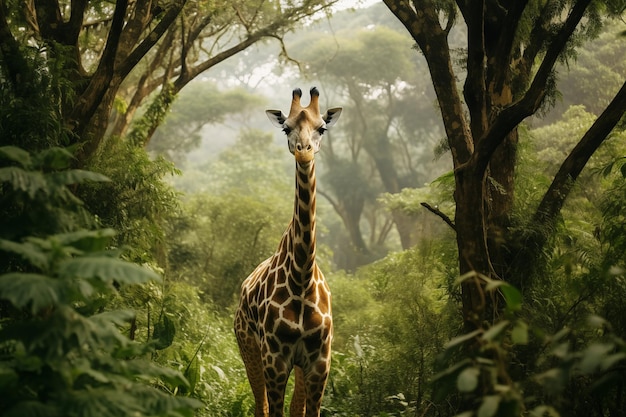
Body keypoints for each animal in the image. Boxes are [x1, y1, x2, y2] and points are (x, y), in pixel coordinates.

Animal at [234, 86, 342, 414]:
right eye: (286, 128)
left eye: (322, 128)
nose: (304, 150)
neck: (302, 277)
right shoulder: (275, 359)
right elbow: (275, 410)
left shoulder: (320, 362)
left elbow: (306, 411)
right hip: (248, 346)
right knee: (261, 406)